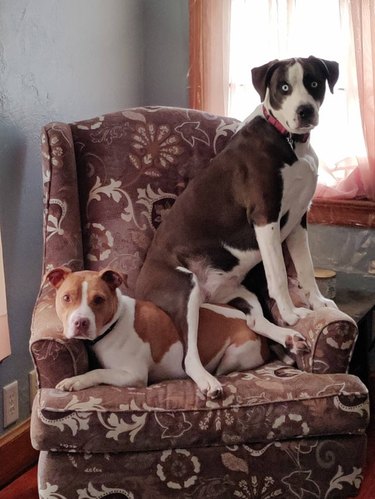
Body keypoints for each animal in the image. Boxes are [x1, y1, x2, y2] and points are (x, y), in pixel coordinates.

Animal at [46, 268, 270, 392]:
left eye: (99, 299)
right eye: (66, 298)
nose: (80, 322)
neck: (116, 322)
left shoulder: (133, 375)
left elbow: (97, 372)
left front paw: (75, 380)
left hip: (236, 353)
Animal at [136, 55, 340, 398]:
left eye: (313, 82)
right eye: (283, 87)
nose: (305, 111)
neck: (289, 141)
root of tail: (137, 285)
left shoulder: (299, 219)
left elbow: (305, 269)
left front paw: (317, 303)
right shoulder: (265, 217)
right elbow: (279, 276)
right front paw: (291, 314)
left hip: (237, 290)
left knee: (254, 322)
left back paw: (287, 338)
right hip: (184, 288)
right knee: (189, 356)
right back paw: (209, 382)